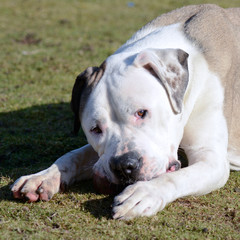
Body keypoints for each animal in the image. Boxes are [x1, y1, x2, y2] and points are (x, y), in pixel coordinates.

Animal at [11, 4, 240, 219]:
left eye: (141, 113)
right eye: (95, 129)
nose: (123, 166)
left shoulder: (211, 159)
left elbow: (175, 177)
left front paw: (145, 193)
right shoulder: (102, 156)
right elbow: (74, 155)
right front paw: (43, 176)